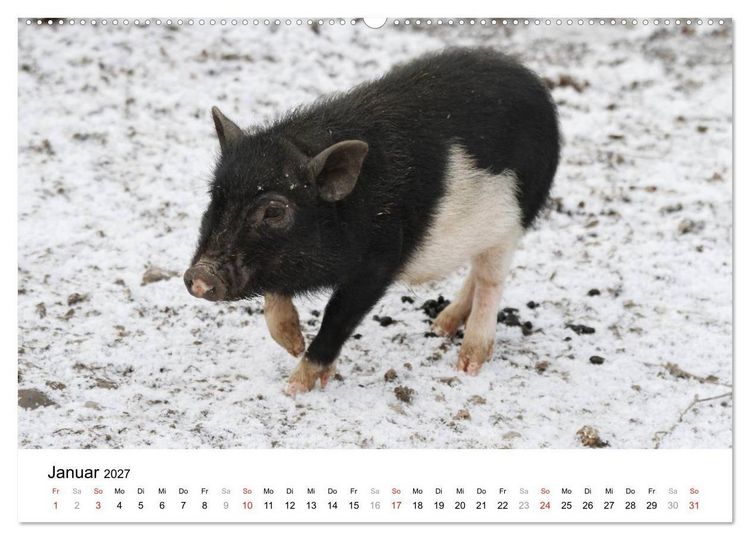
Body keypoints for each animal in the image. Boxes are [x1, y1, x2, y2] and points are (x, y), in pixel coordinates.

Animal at [184, 47, 560, 395]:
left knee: (489, 280)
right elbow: (275, 298)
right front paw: (293, 344)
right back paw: (440, 327)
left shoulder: (380, 261)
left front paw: (294, 387)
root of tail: (535, 84)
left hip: (514, 219)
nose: (200, 276)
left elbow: (338, 316)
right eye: (215, 195)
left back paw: (467, 363)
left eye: (274, 211)